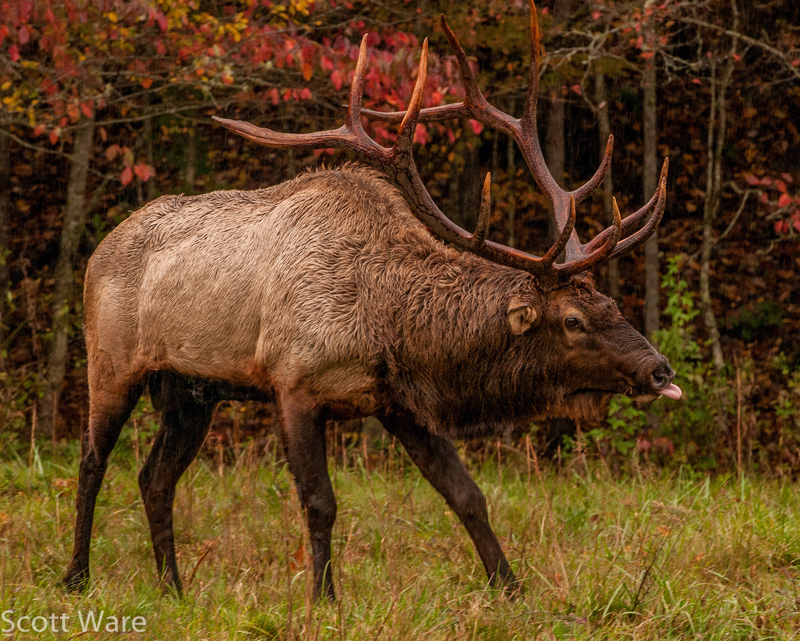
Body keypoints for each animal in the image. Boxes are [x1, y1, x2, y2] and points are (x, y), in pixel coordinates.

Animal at [63, 1, 681, 601]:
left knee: (154, 478)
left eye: (612, 305)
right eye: (573, 320)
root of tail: (97, 251)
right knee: (92, 460)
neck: (387, 327)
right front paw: (323, 599)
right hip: (112, 361)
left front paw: (512, 590)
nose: (659, 369)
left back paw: (173, 588)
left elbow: (468, 496)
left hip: (191, 390)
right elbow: (320, 503)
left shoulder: (400, 402)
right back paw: (77, 577)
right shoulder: (293, 382)